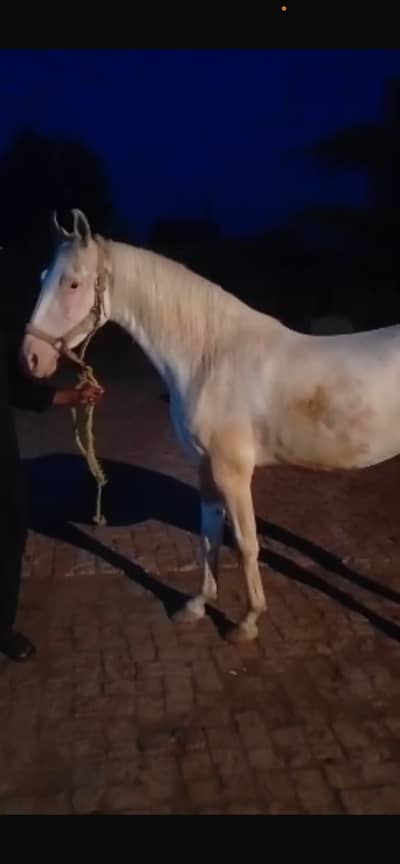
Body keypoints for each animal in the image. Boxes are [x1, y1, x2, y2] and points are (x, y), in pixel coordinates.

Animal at [21, 208, 400, 642]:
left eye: (73, 282)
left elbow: (247, 544)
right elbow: (209, 535)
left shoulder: (232, 472)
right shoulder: (204, 467)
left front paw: (247, 622)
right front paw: (198, 605)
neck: (211, 358)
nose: (31, 358)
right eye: (42, 276)